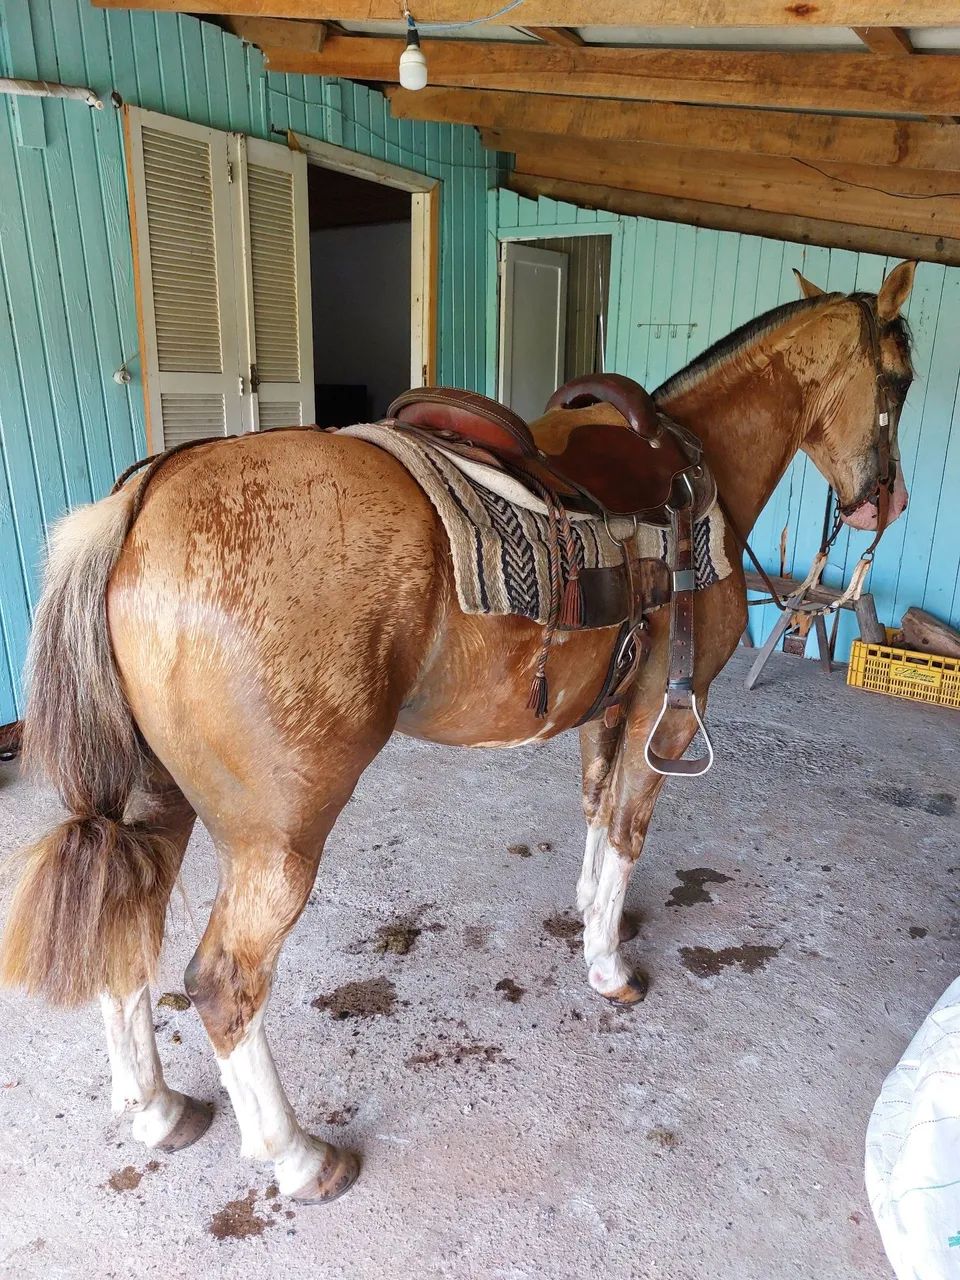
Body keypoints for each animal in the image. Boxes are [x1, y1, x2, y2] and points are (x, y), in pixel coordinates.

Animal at [0, 261, 915, 1205]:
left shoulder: (607, 712)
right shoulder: (665, 709)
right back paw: (300, 1158)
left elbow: (596, 815)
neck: (699, 473)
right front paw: (609, 970)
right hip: (276, 837)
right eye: (901, 380)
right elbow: (627, 829)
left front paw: (592, 913)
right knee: (224, 983)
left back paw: (155, 1111)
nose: (886, 501)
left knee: (122, 929)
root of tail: (141, 503)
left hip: (155, 802)